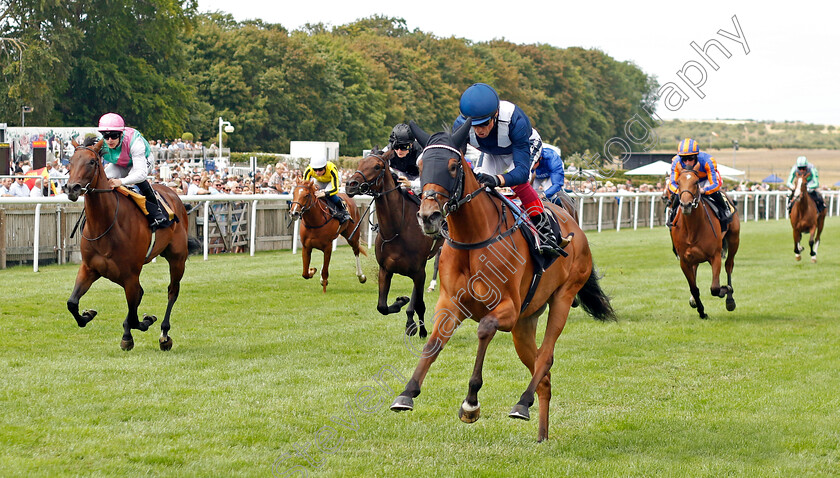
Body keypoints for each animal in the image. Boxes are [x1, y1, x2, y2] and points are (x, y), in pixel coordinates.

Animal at [63, 138, 200, 352]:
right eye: (70, 161)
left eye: (92, 162)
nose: (72, 188)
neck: (105, 224)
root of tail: (173, 192)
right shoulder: (89, 268)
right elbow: (72, 303)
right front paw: (87, 315)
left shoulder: (130, 274)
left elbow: (136, 316)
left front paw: (145, 322)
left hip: (177, 259)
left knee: (172, 291)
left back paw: (164, 335)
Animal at [342, 148, 442, 338]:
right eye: (360, 163)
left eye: (377, 166)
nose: (350, 184)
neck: (397, 229)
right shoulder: (385, 269)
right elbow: (382, 307)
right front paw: (401, 302)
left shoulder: (418, 271)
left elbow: (419, 304)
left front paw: (421, 330)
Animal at [388, 121, 616, 442]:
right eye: (419, 166)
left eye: (453, 166)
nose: (428, 216)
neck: (473, 239)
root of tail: (576, 228)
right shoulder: (451, 304)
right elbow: (433, 343)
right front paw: (407, 393)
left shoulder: (507, 309)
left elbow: (485, 329)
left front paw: (471, 403)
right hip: (525, 323)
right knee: (543, 374)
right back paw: (541, 434)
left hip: (562, 297)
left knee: (546, 357)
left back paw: (522, 402)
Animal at [668, 166, 740, 320]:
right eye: (678, 182)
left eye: (696, 182)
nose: (686, 205)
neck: (692, 228)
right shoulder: (684, 261)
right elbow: (694, 288)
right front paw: (701, 311)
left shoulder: (715, 256)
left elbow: (715, 288)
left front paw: (725, 289)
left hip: (734, 239)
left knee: (729, 265)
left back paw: (730, 299)